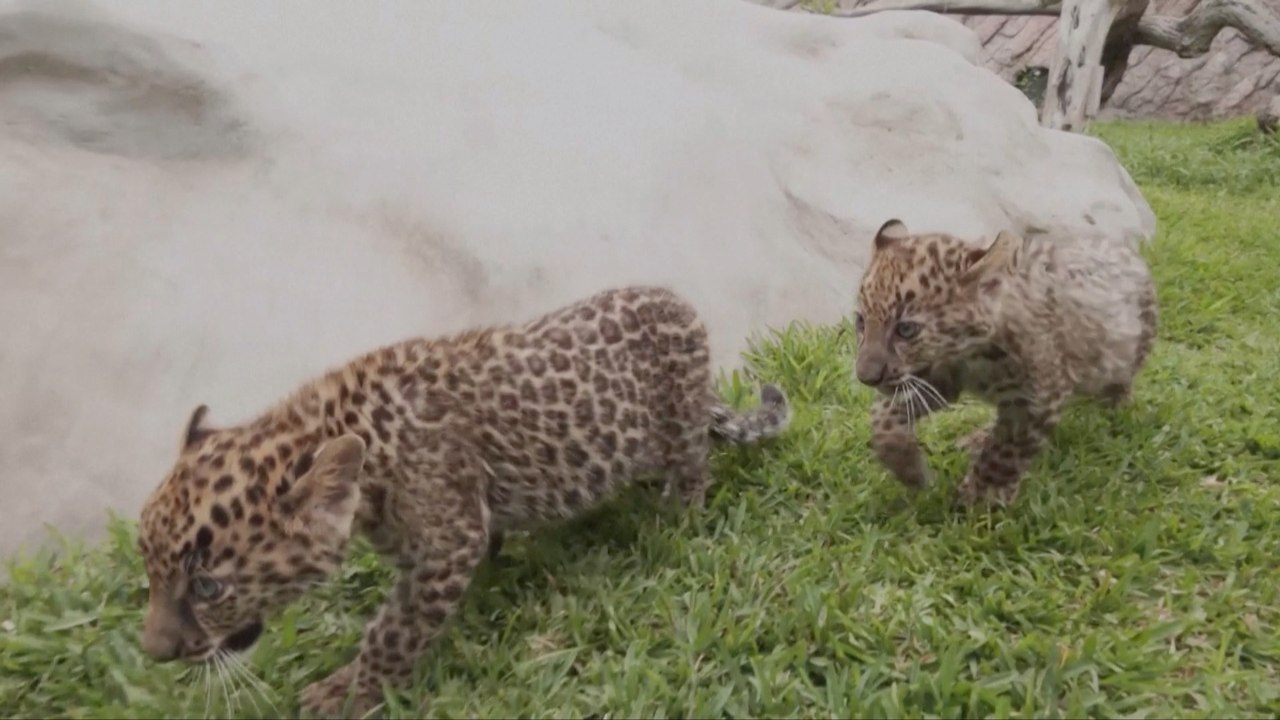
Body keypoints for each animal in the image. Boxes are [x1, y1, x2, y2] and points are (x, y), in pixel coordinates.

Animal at [136, 285, 790, 718]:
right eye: (150, 568)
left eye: (208, 587)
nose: (155, 653)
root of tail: (681, 303)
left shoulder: (447, 542)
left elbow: (394, 632)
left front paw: (348, 691)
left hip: (677, 420)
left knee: (694, 462)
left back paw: (679, 513)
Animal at [852, 218, 1157, 508]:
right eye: (860, 322)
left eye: (906, 330)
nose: (866, 377)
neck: (971, 356)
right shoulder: (941, 379)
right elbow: (883, 415)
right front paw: (910, 471)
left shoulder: (1039, 397)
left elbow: (1004, 453)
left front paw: (981, 500)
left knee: (1118, 387)